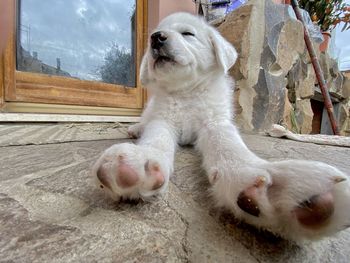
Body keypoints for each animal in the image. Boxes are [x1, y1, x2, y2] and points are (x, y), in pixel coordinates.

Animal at [93, 13, 350, 242]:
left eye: (187, 34)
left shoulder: (216, 122)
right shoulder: (162, 119)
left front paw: (260, 181)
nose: (156, 38)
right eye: (153, 38)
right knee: (145, 121)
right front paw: (141, 159)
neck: (187, 92)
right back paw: (136, 129)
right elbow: (156, 137)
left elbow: (228, 145)